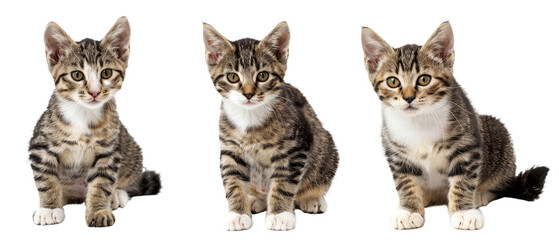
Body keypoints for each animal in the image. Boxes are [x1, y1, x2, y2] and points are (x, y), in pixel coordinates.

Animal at [29, 16, 161, 227]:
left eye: (106, 73)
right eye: (77, 75)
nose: (94, 92)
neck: (83, 115)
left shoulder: (109, 150)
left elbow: (101, 183)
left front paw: (99, 211)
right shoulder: (39, 146)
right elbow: (46, 180)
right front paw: (49, 209)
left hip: (131, 149)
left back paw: (117, 194)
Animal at [203, 22, 340, 231]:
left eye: (263, 76)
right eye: (233, 77)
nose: (248, 94)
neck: (250, 118)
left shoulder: (295, 149)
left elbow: (284, 183)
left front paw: (280, 214)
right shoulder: (230, 150)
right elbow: (233, 182)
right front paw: (237, 214)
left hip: (326, 147)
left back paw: (312, 199)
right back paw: (256, 199)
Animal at [360, 21, 548, 230]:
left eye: (424, 79)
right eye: (392, 81)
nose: (408, 98)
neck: (420, 119)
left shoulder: (467, 146)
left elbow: (463, 180)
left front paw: (464, 212)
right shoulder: (396, 153)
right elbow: (405, 182)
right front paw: (409, 210)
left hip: (500, 139)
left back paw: (479, 195)